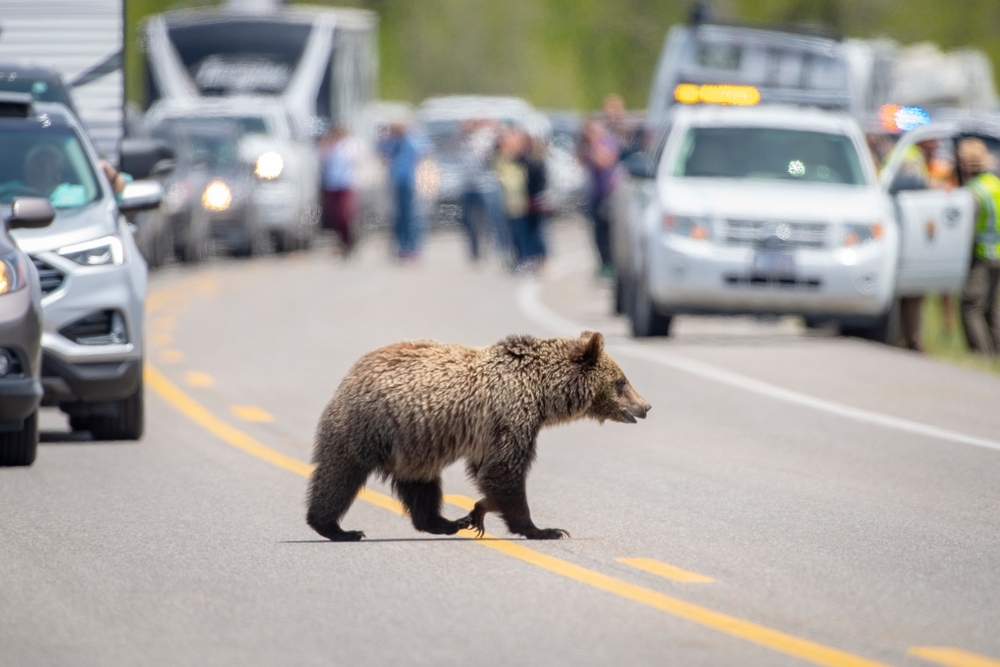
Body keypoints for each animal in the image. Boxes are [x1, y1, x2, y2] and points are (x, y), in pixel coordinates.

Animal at [306, 332, 648, 544]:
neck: (542, 392)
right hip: (370, 425)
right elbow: (504, 470)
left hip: (414, 442)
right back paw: (336, 527)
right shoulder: (511, 414)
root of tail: (352, 372)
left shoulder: (495, 429)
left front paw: (477, 512)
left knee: (421, 483)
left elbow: (488, 470)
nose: (645, 406)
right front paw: (543, 529)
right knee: (340, 473)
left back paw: (444, 522)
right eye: (622, 381)